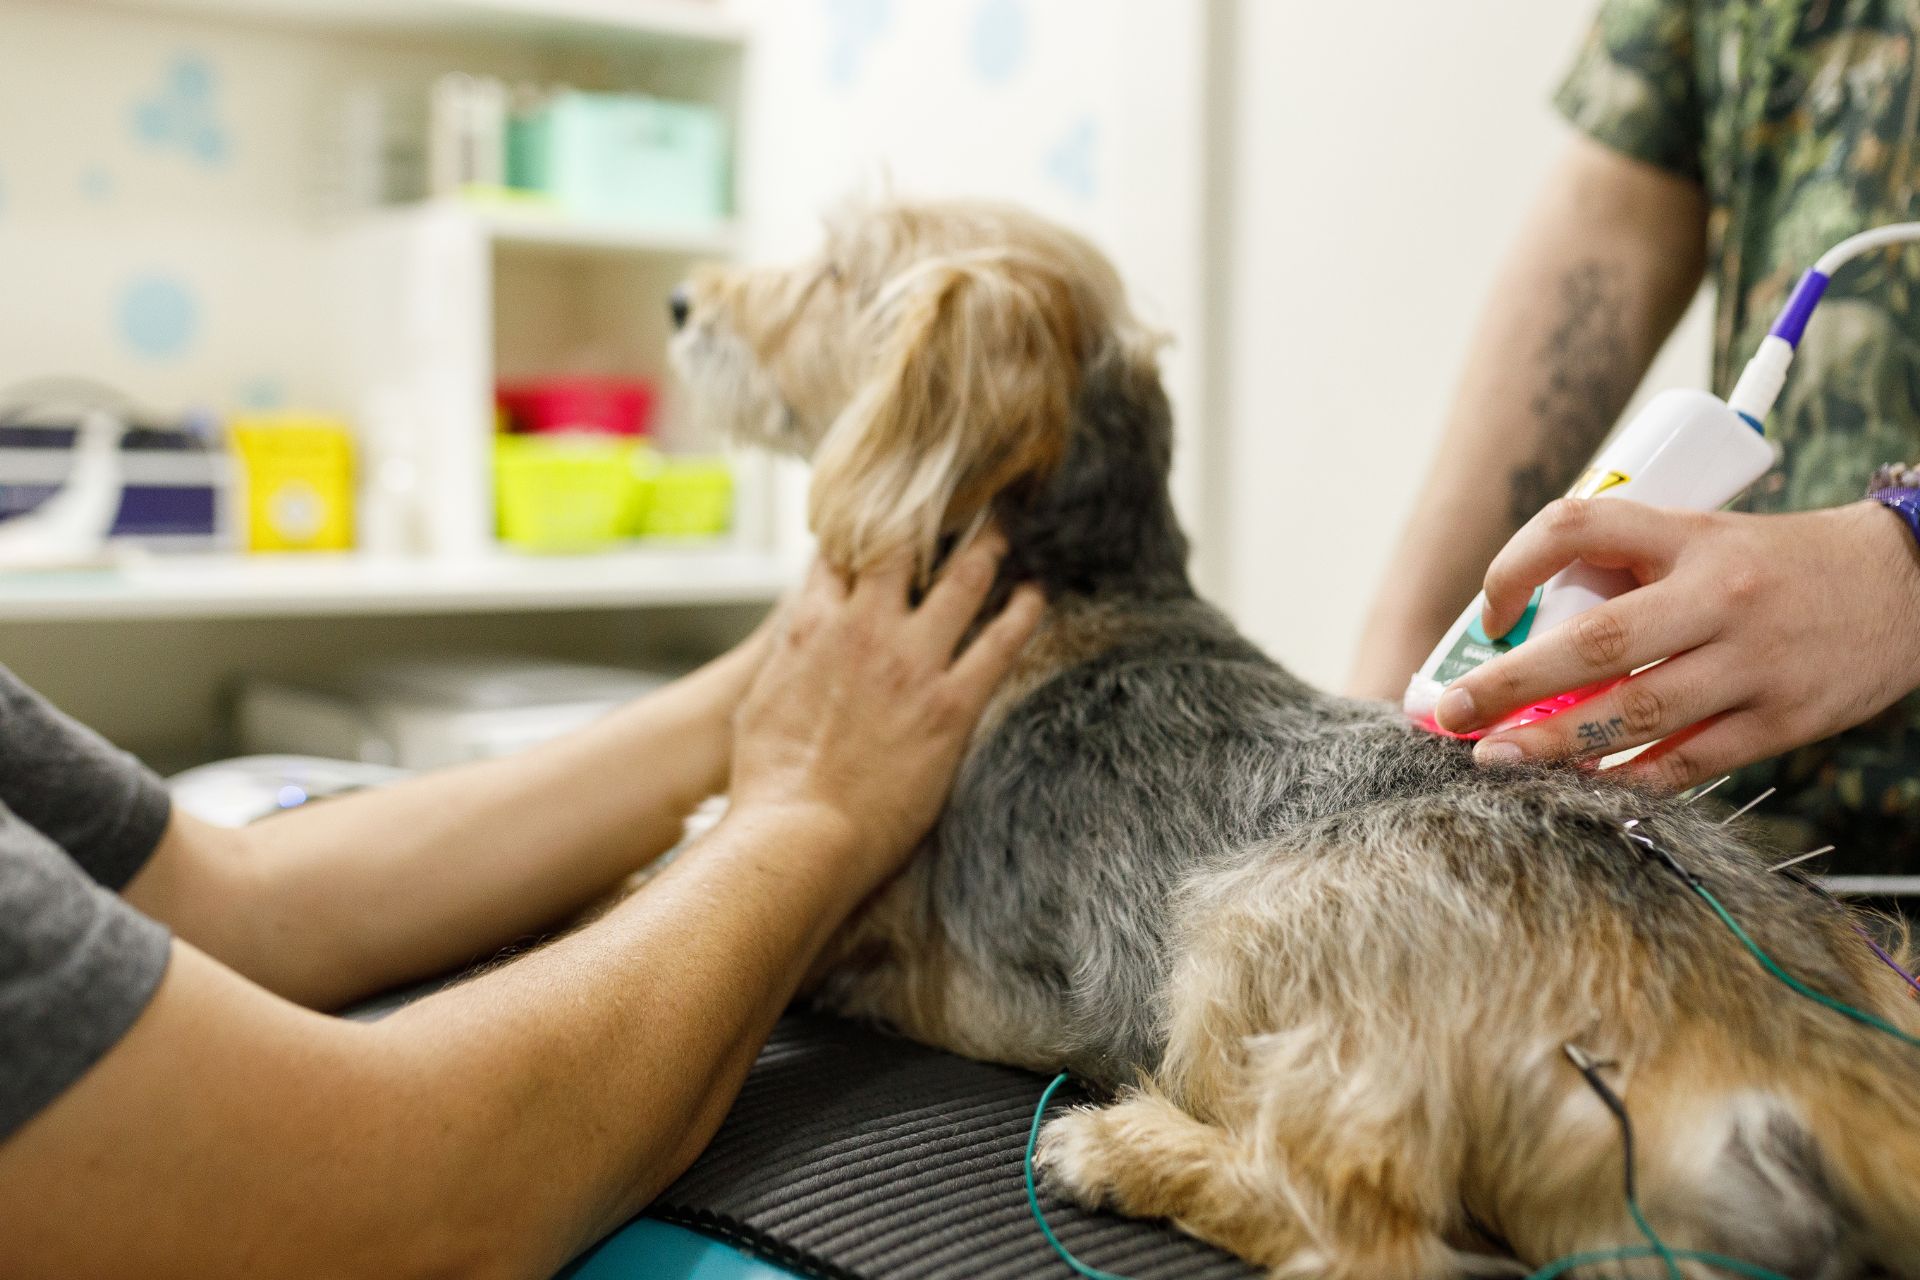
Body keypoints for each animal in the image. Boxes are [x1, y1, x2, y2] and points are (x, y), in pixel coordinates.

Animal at [672, 202, 1920, 1280]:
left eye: (836, 268)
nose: (682, 299)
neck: (1084, 578)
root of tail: (1788, 1024)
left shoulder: (856, 919)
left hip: (1248, 924)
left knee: (1364, 1232)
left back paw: (1122, 1150)